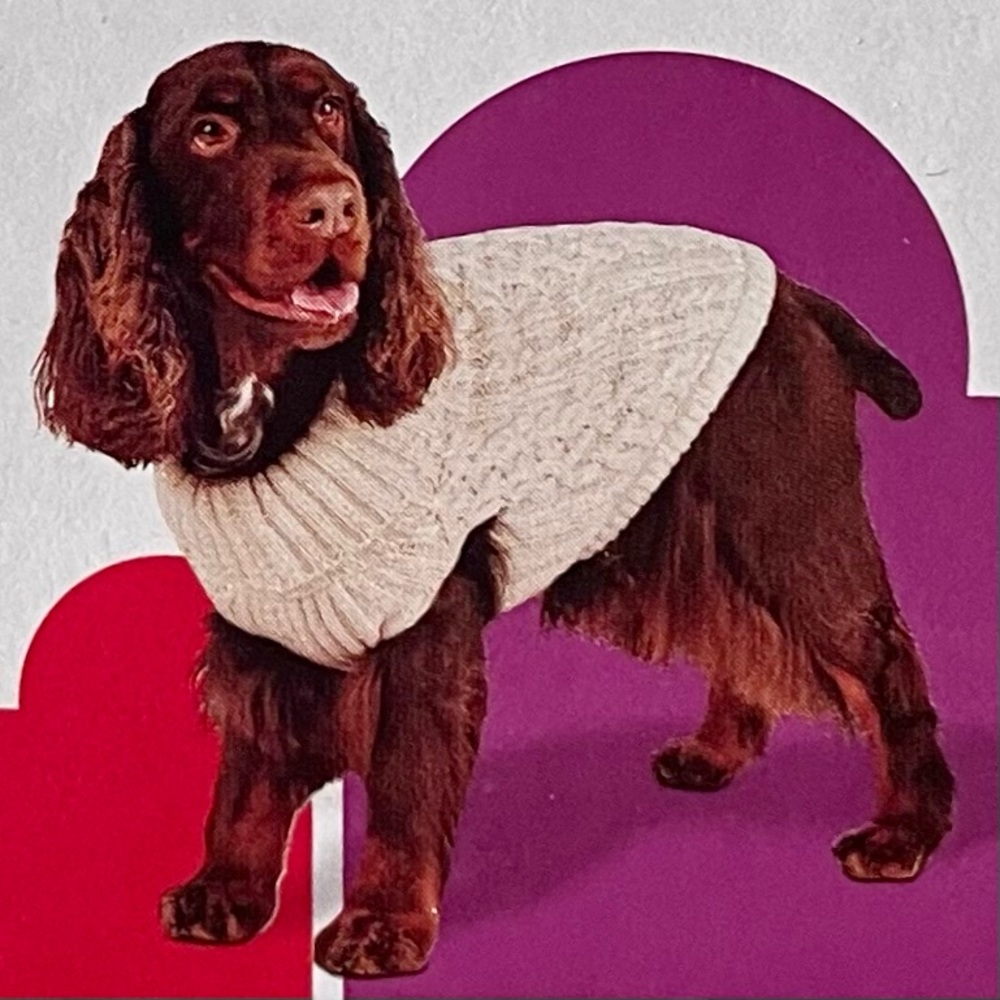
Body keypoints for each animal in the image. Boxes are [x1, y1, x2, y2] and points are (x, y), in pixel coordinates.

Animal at [34, 41, 954, 978]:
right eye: (209, 132)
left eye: (329, 111)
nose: (335, 206)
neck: (279, 392)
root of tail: (795, 291)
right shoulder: (261, 618)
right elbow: (248, 780)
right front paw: (226, 891)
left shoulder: (423, 621)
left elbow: (404, 786)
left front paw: (383, 923)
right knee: (738, 628)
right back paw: (717, 752)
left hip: (783, 511)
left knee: (883, 663)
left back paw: (904, 832)